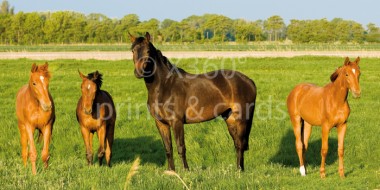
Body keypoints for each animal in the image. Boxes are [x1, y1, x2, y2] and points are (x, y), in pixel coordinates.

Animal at [129, 32, 256, 171]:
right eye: (133, 50)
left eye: (147, 51)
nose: (138, 72)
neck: (165, 86)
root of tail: (249, 80)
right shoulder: (161, 123)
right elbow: (168, 148)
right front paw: (171, 171)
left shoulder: (177, 122)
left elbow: (181, 147)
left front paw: (185, 170)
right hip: (230, 119)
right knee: (237, 144)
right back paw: (237, 170)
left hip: (242, 119)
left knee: (241, 143)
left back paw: (240, 170)